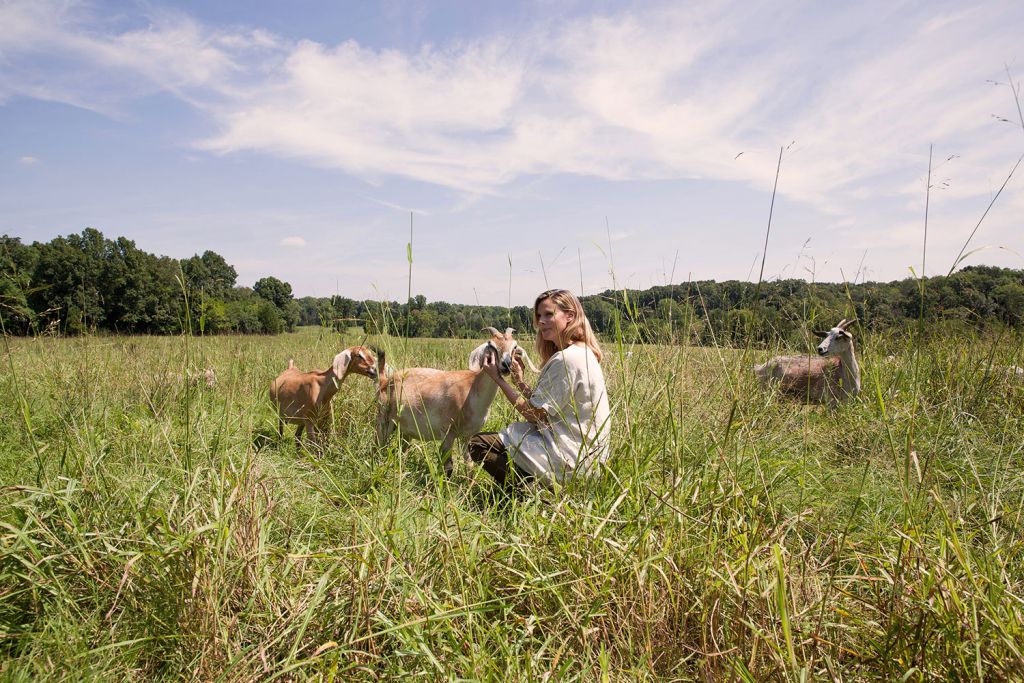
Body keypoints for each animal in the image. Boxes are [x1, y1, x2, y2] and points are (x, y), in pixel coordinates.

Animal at [374, 327, 536, 475]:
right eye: (491, 345)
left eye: (514, 346)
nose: (506, 364)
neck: (471, 389)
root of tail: (385, 381)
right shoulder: (447, 433)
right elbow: (448, 466)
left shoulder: (466, 437)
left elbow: (469, 465)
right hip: (384, 422)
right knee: (379, 446)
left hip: (405, 431)